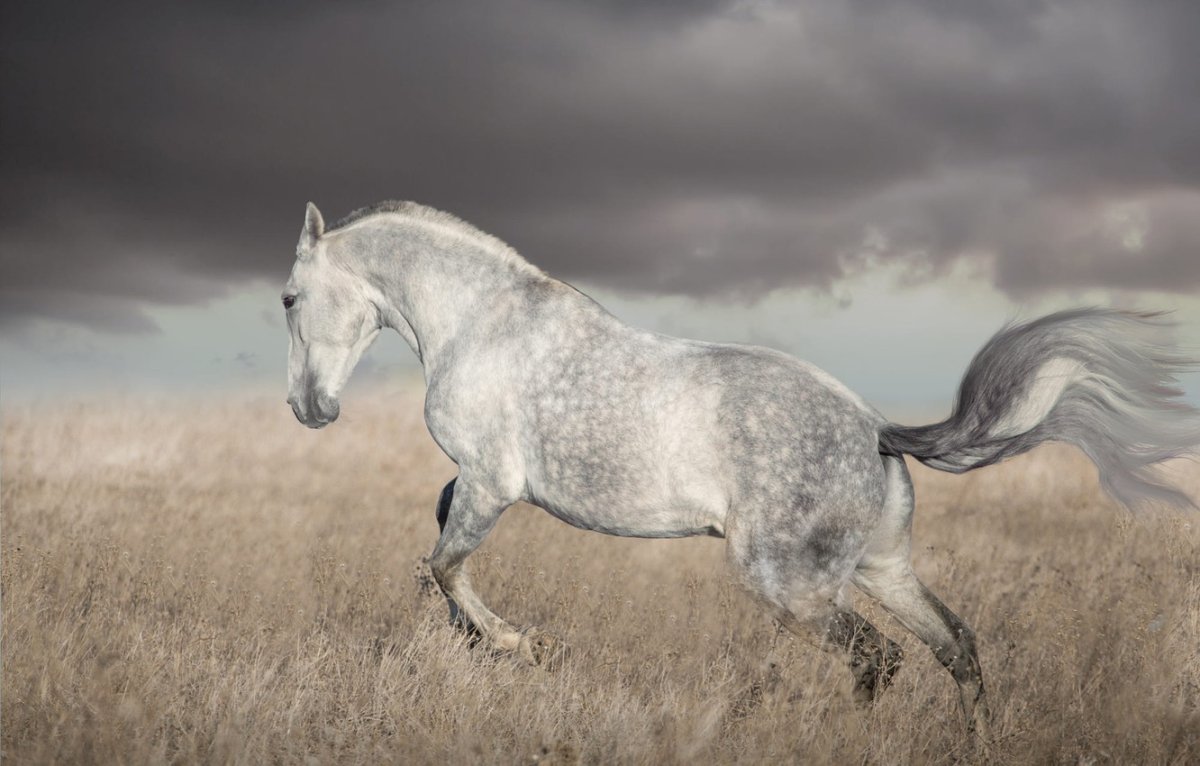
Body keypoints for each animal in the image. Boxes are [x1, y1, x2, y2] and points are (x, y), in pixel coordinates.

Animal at [281, 200, 1199, 738]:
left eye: (289, 298)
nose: (307, 409)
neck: (481, 322)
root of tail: (876, 431)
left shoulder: (490, 482)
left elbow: (444, 561)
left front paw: (518, 645)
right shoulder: (478, 485)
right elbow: (438, 550)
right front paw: (481, 643)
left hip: (787, 585)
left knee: (878, 659)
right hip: (880, 570)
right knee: (956, 648)